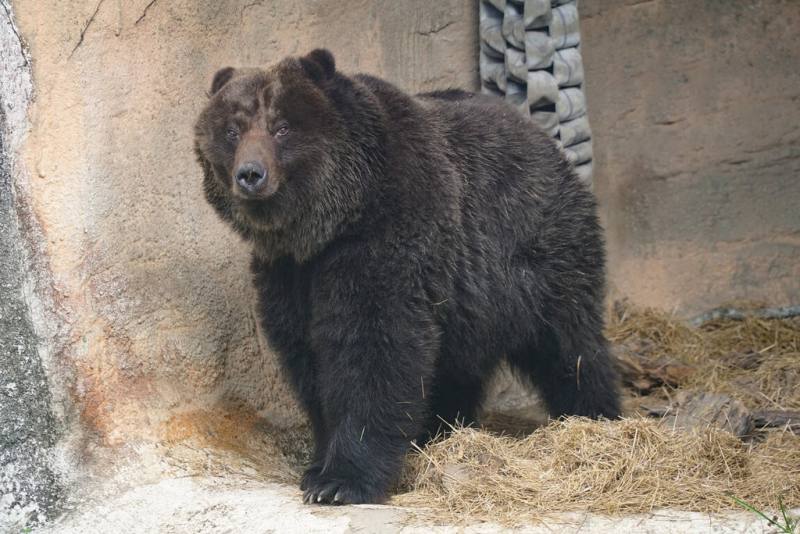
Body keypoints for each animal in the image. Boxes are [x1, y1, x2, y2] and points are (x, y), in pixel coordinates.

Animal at [194, 49, 620, 505]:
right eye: (232, 130)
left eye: (282, 126)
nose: (250, 174)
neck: (330, 223)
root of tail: (543, 138)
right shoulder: (289, 273)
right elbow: (307, 355)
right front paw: (317, 465)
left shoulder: (390, 237)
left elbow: (374, 347)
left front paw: (341, 481)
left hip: (538, 254)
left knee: (569, 344)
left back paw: (595, 416)